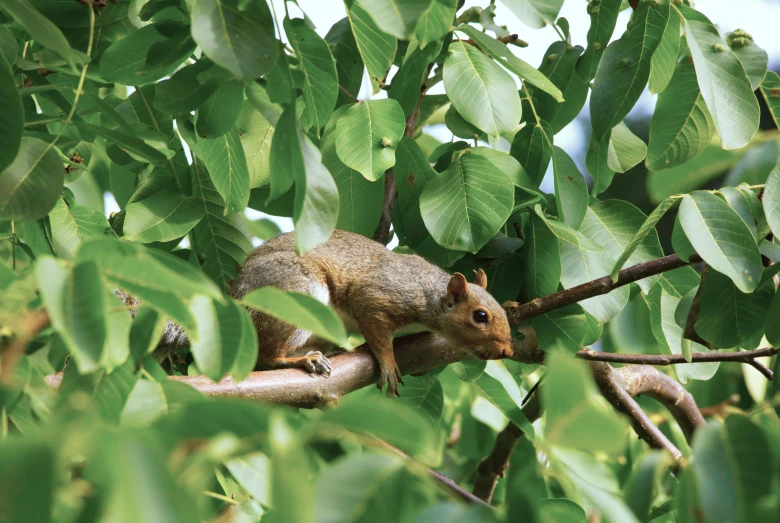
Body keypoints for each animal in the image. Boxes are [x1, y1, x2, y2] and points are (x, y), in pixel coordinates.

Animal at [132, 229, 516, 398]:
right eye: (480, 316)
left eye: (498, 310)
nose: (507, 350)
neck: (429, 295)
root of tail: (237, 302)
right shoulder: (379, 296)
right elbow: (376, 328)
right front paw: (389, 363)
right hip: (299, 292)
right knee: (267, 356)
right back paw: (304, 360)